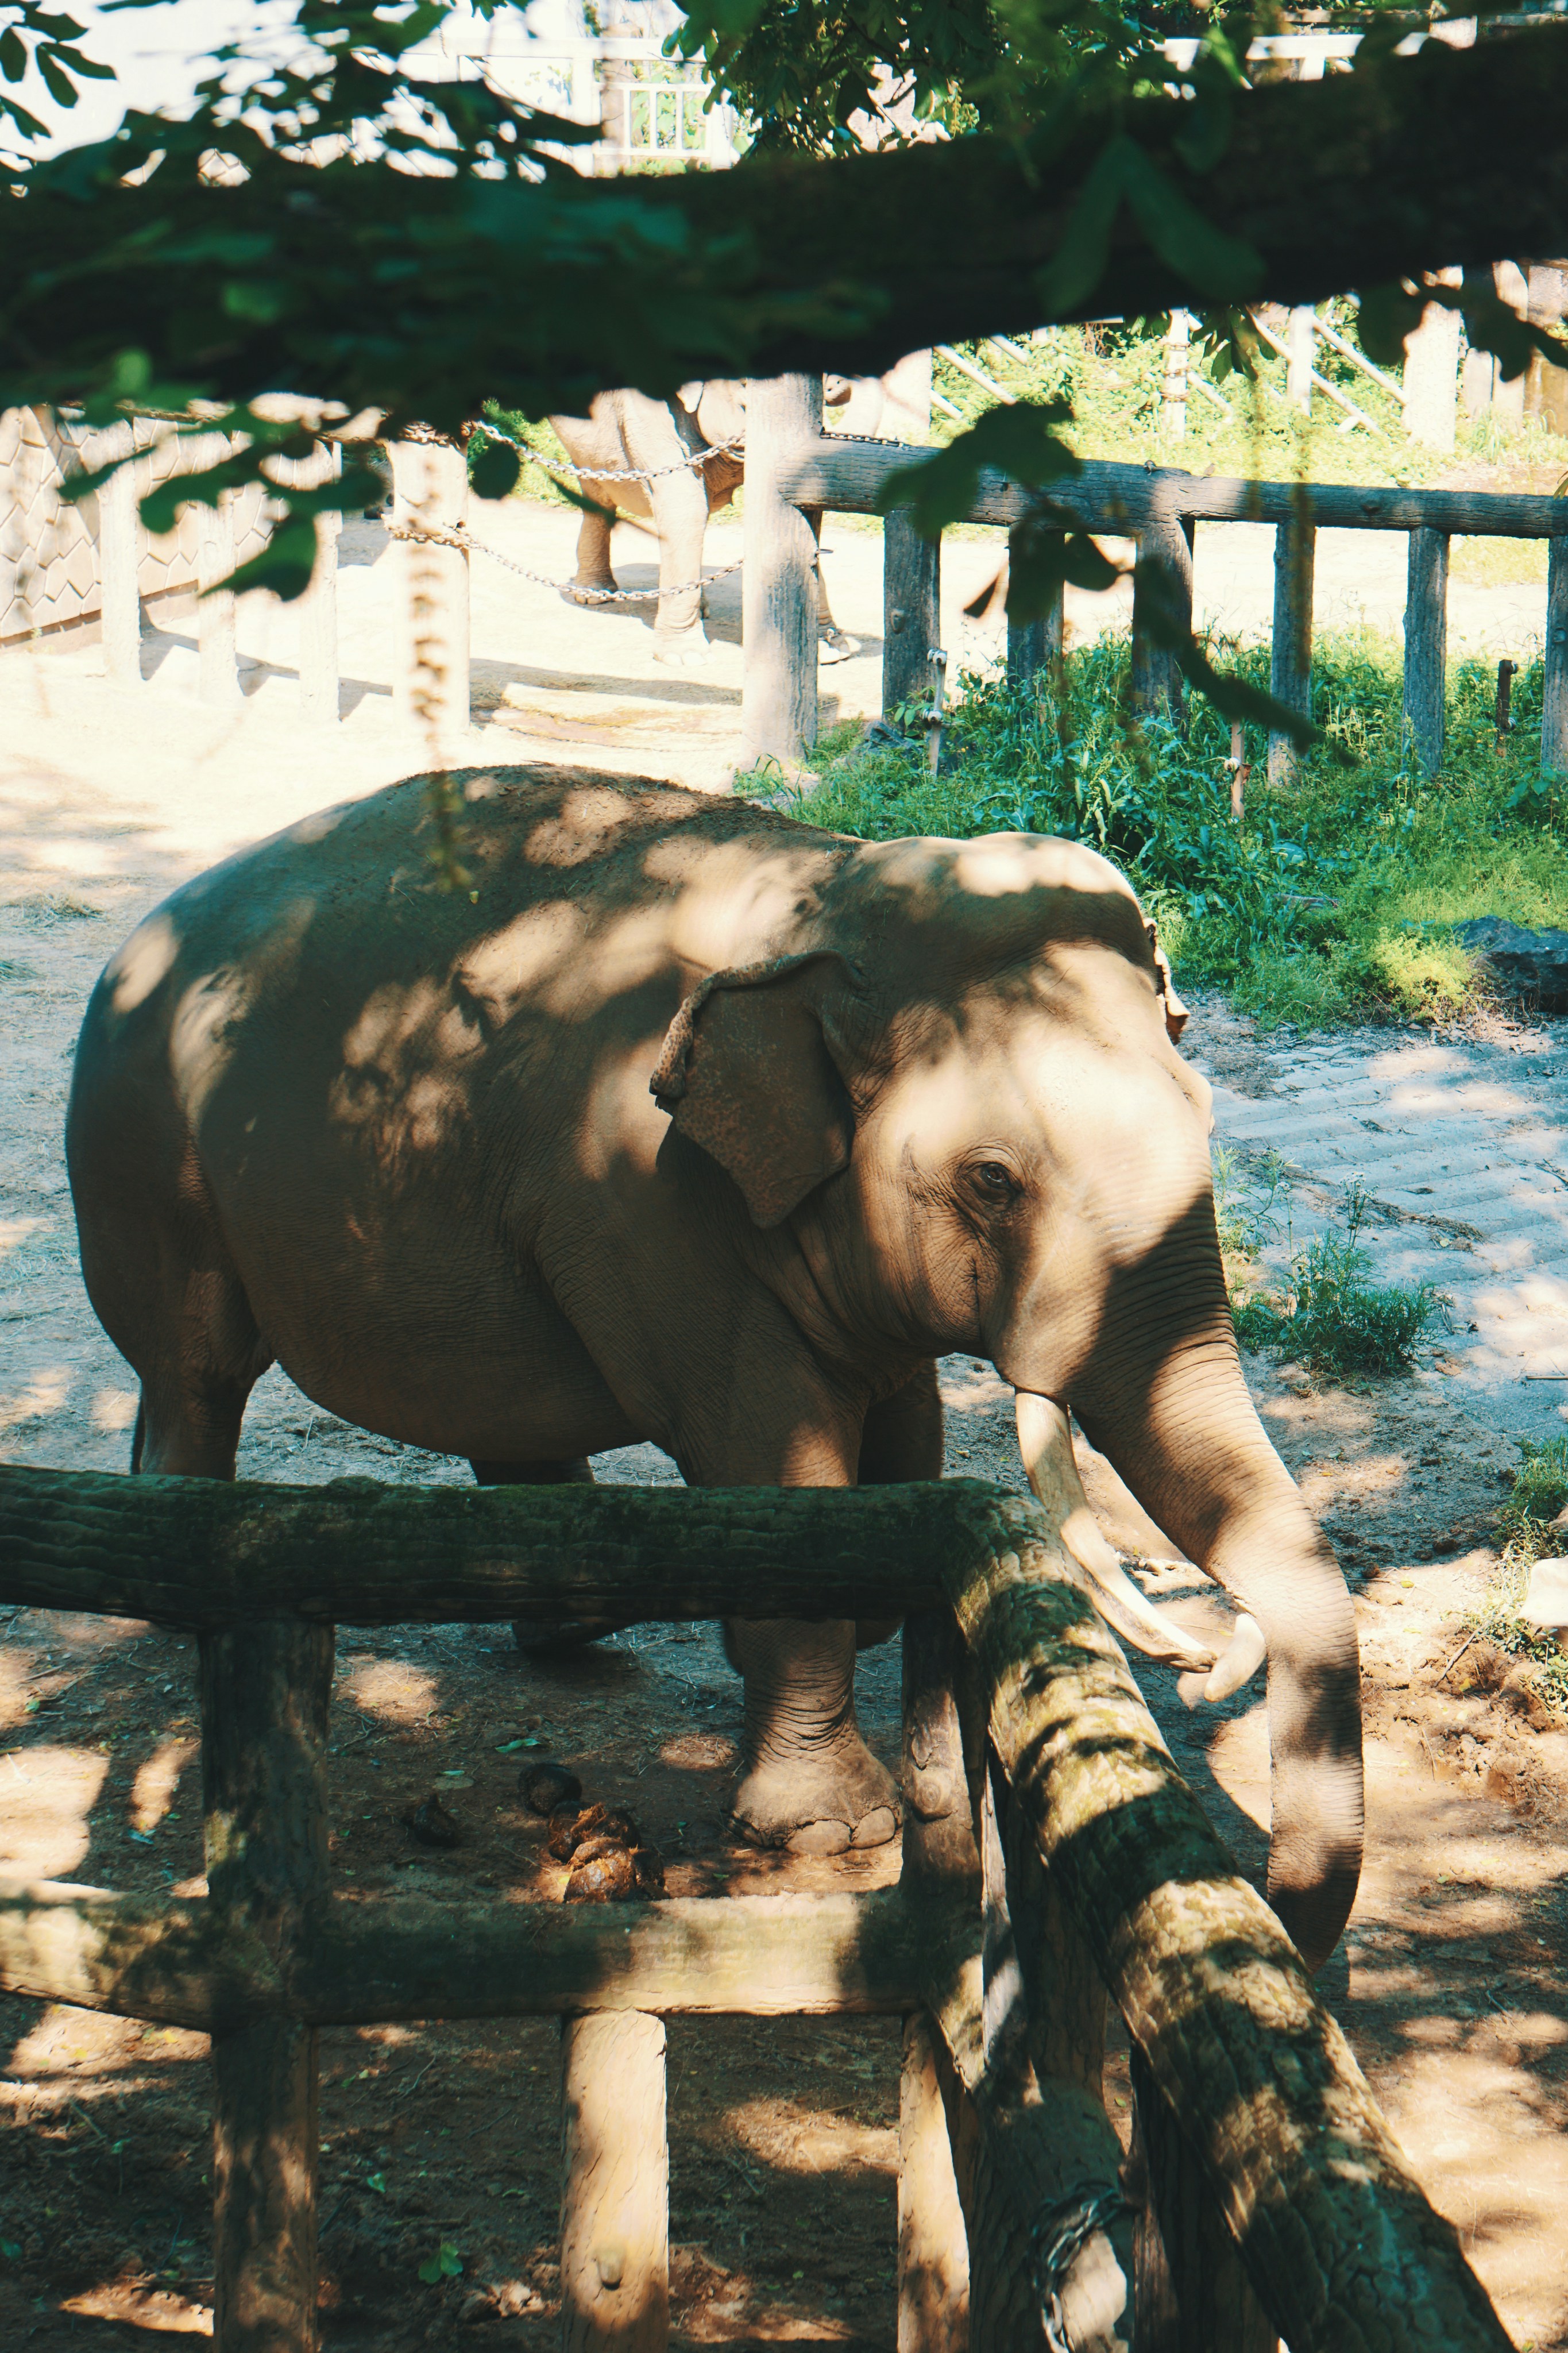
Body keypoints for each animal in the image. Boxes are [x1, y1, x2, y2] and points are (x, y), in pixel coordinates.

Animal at [66, 766, 1362, 1968]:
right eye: (994, 1180)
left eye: (1205, 1114)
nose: (1289, 1918)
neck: (828, 892)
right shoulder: (648, 1193)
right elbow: (775, 1459)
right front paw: (831, 1829)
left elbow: (904, 1442)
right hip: (144, 1152)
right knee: (195, 1370)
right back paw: (177, 1588)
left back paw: (577, 1623)